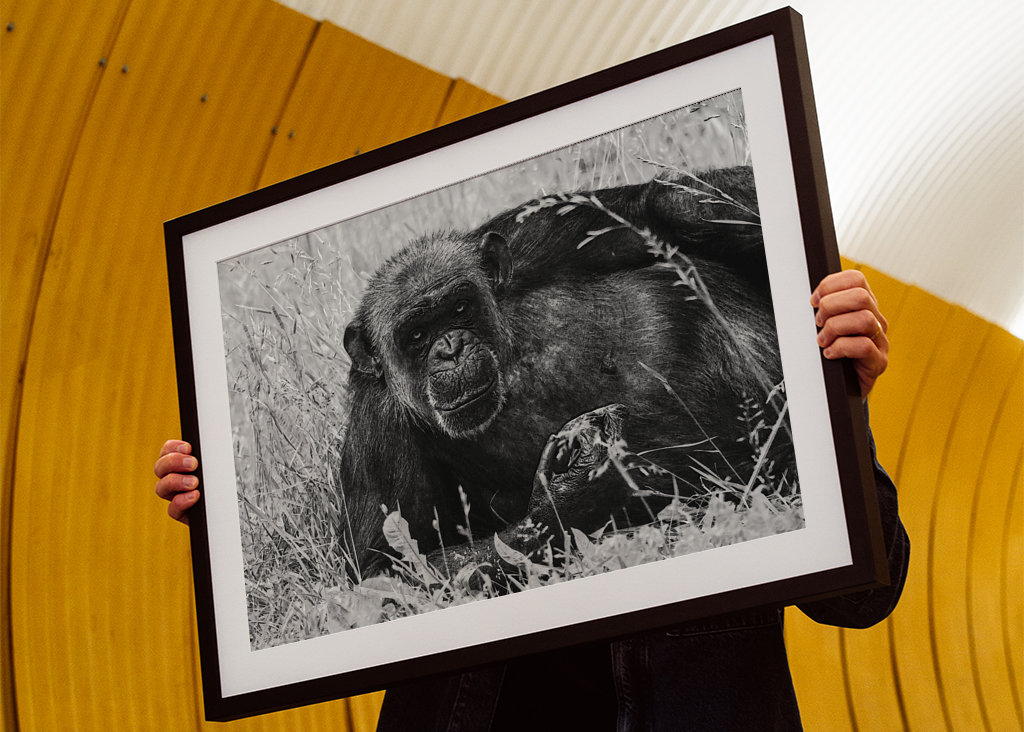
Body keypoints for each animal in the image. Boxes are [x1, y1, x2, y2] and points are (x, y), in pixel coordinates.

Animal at [337, 165, 793, 582]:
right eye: (416, 335)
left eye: (460, 308)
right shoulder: (379, 432)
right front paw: (572, 491)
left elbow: (652, 209)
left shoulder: (539, 236)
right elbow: (388, 570)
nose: (450, 349)